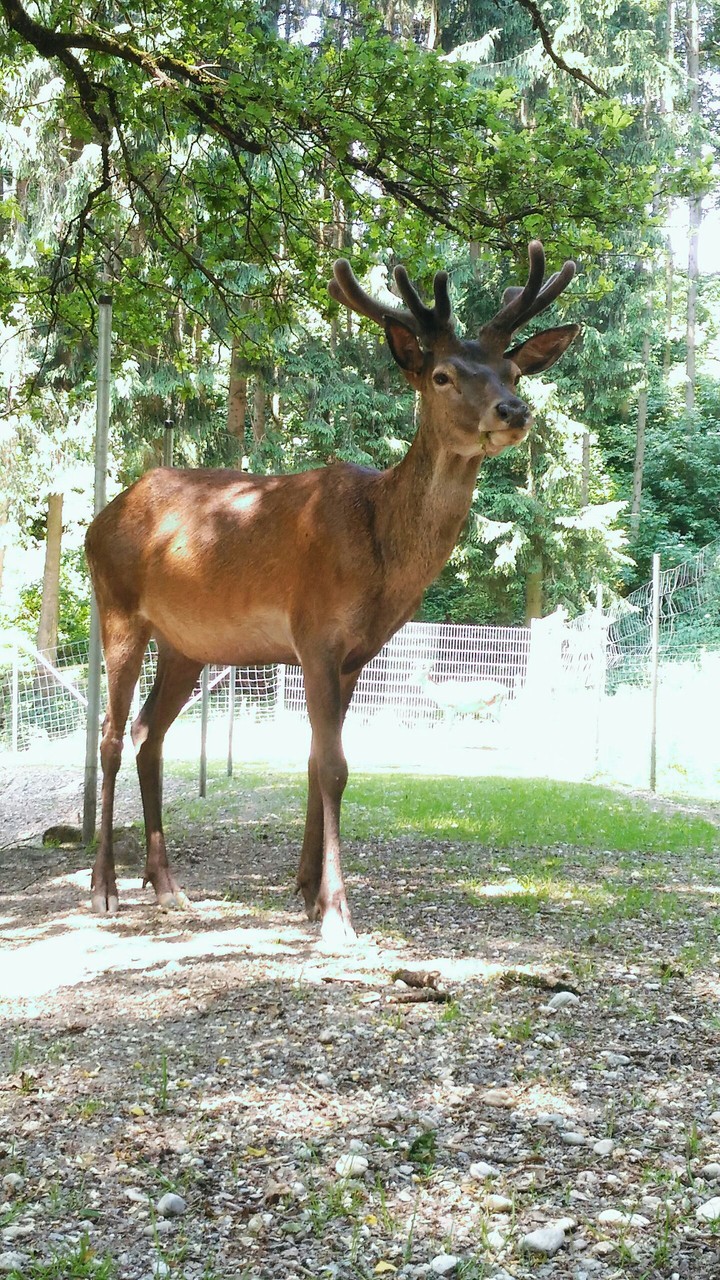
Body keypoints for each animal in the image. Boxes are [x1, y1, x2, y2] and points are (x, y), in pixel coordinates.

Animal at [84, 241, 579, 945]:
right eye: (443, 375)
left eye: (512, 370)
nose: (513, 412)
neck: (381, 558)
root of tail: (97, 522)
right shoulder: (314, 631)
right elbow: (335, 766)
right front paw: (338, 912)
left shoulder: (355, 655)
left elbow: (320, 760)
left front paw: (305, 891)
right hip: (119, 607)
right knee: (108, 733)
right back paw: (104, 888)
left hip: (187, 645)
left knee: (148, 732)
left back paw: (168, 886)